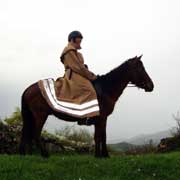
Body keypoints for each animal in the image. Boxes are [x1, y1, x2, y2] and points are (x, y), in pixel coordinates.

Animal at [19, 54, 153, 158]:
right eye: (140, 68)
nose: (151, 85)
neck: (105, 88)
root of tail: (28, 89)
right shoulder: (102, 118)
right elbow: (101, 136)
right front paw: (102, 155)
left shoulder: (100, 119)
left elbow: (99, 136)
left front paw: (99, 155)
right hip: (40, 115)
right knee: (35, 133)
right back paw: (44, 154)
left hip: (32, 116)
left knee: (27, 133)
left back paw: (28, 155)